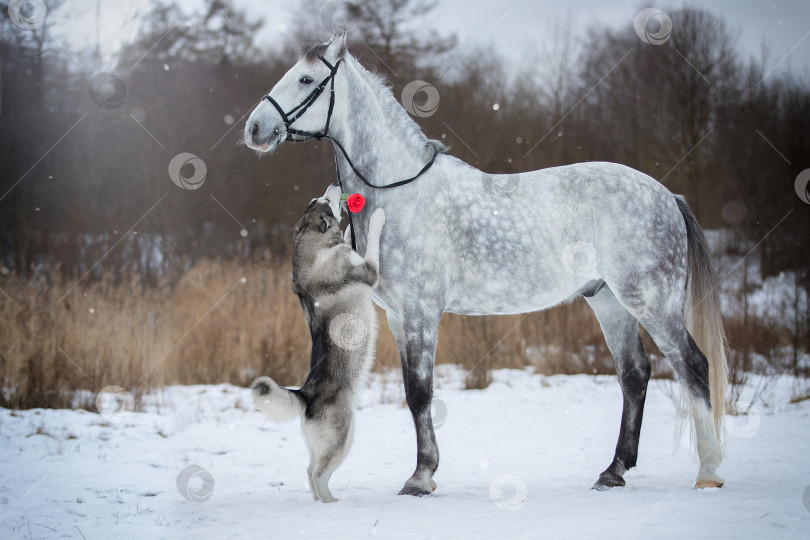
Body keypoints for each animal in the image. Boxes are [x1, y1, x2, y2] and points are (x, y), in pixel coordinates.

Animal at [249, 185, 382, 502]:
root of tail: (306, 396)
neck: (315, 246)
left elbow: (348, 237)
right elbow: (372, 241)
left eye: (316, 199)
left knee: (310, 471)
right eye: (325, 200)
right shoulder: (369, 271)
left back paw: (322, 501)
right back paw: (330, 503)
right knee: (318, 474)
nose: (335, 186)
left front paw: (348, 230)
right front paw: (378, 217)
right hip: (342, 438)